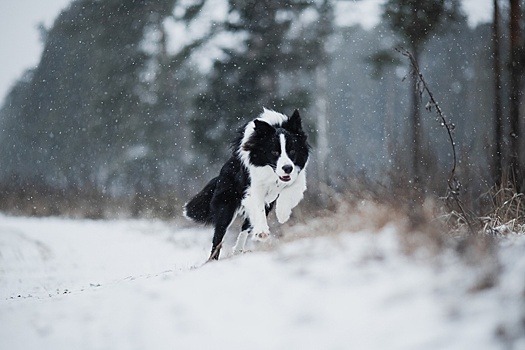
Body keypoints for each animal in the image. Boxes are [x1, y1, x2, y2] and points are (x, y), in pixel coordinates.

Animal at [183, 108, 310, 260]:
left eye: (292, 151)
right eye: (274, 152)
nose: (287, 168)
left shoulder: (298, 178)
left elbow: (290, 191)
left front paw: (282, 214)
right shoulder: (253, 187)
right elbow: (258, 207)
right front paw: (262, 231)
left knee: (245, 228)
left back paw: (238, 250)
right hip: (227, 205)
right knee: (218, 236)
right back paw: (213, 259)